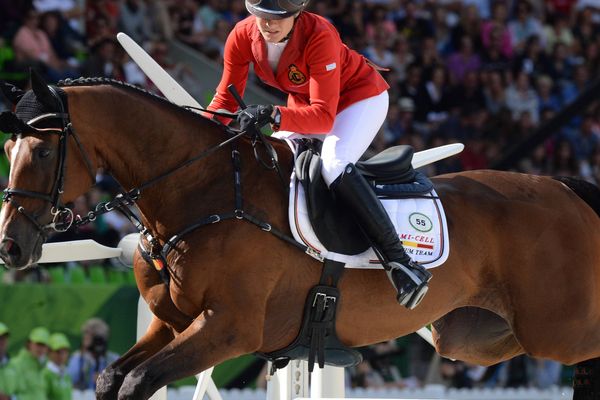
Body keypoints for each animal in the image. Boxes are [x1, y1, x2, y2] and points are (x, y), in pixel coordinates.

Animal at [1, 72, 600, 400]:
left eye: (46, 151)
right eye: (9, 149)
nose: (12, 247)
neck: (199, 190)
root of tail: (564, 188)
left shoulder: (230, 329)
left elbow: (137, 382)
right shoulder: (171, 325)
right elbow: (112, 379)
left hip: (556, 329)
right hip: (480, 338)